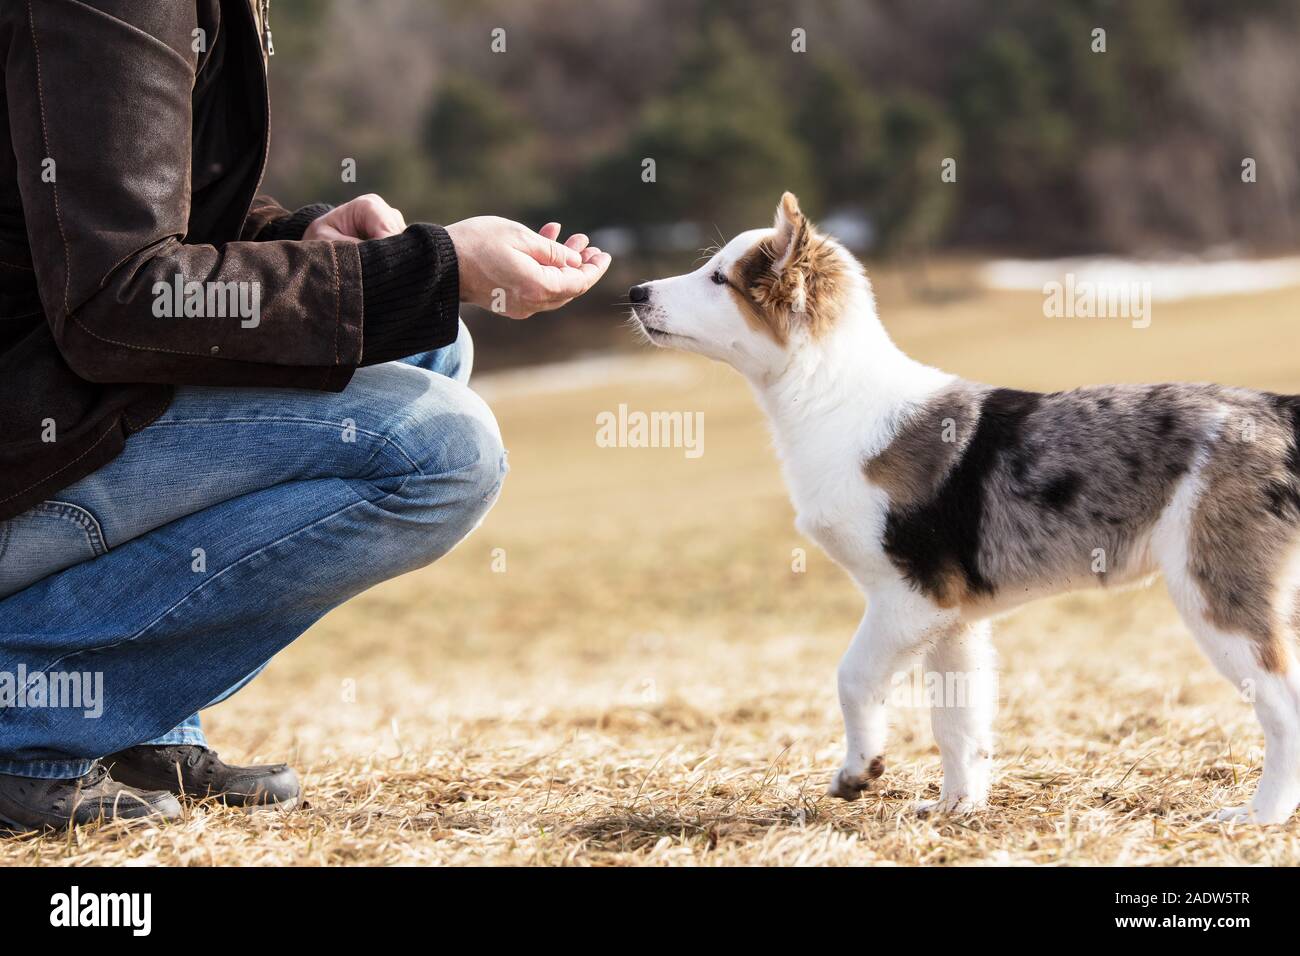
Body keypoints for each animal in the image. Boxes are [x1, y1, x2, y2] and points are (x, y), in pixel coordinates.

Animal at [626, 192, 1300, 822]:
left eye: (720, 278)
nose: (634, 292)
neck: (832, 398)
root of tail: (1278, 411)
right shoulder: (954, 620)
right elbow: (958, 721)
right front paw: (958, 807)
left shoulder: (909, 598)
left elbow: (853, 677)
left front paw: (859, 771)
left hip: (1215, 592)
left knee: (1285, 709)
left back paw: (1259, 816)